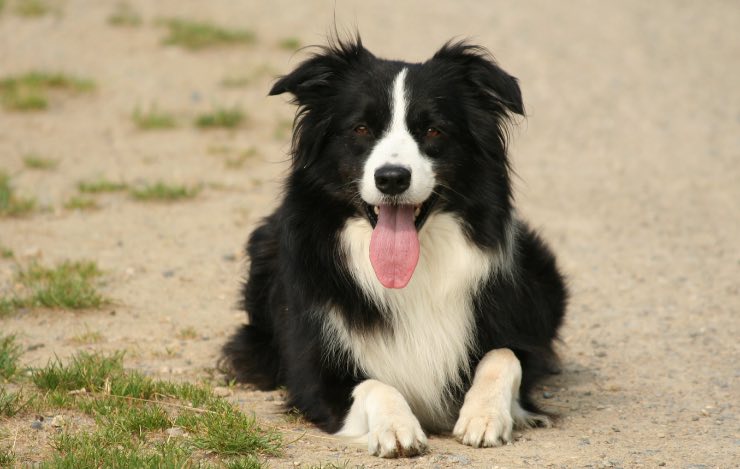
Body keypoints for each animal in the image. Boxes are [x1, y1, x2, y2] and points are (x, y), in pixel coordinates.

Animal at [223, 37, 568, 458]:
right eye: (361, 128)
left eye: (433, 131)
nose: (391, 178)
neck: (414, 274)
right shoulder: (312, 372)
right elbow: (372, 384)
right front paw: (397, 426)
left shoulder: (519, 335)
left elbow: (504, 356)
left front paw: (483, 416)